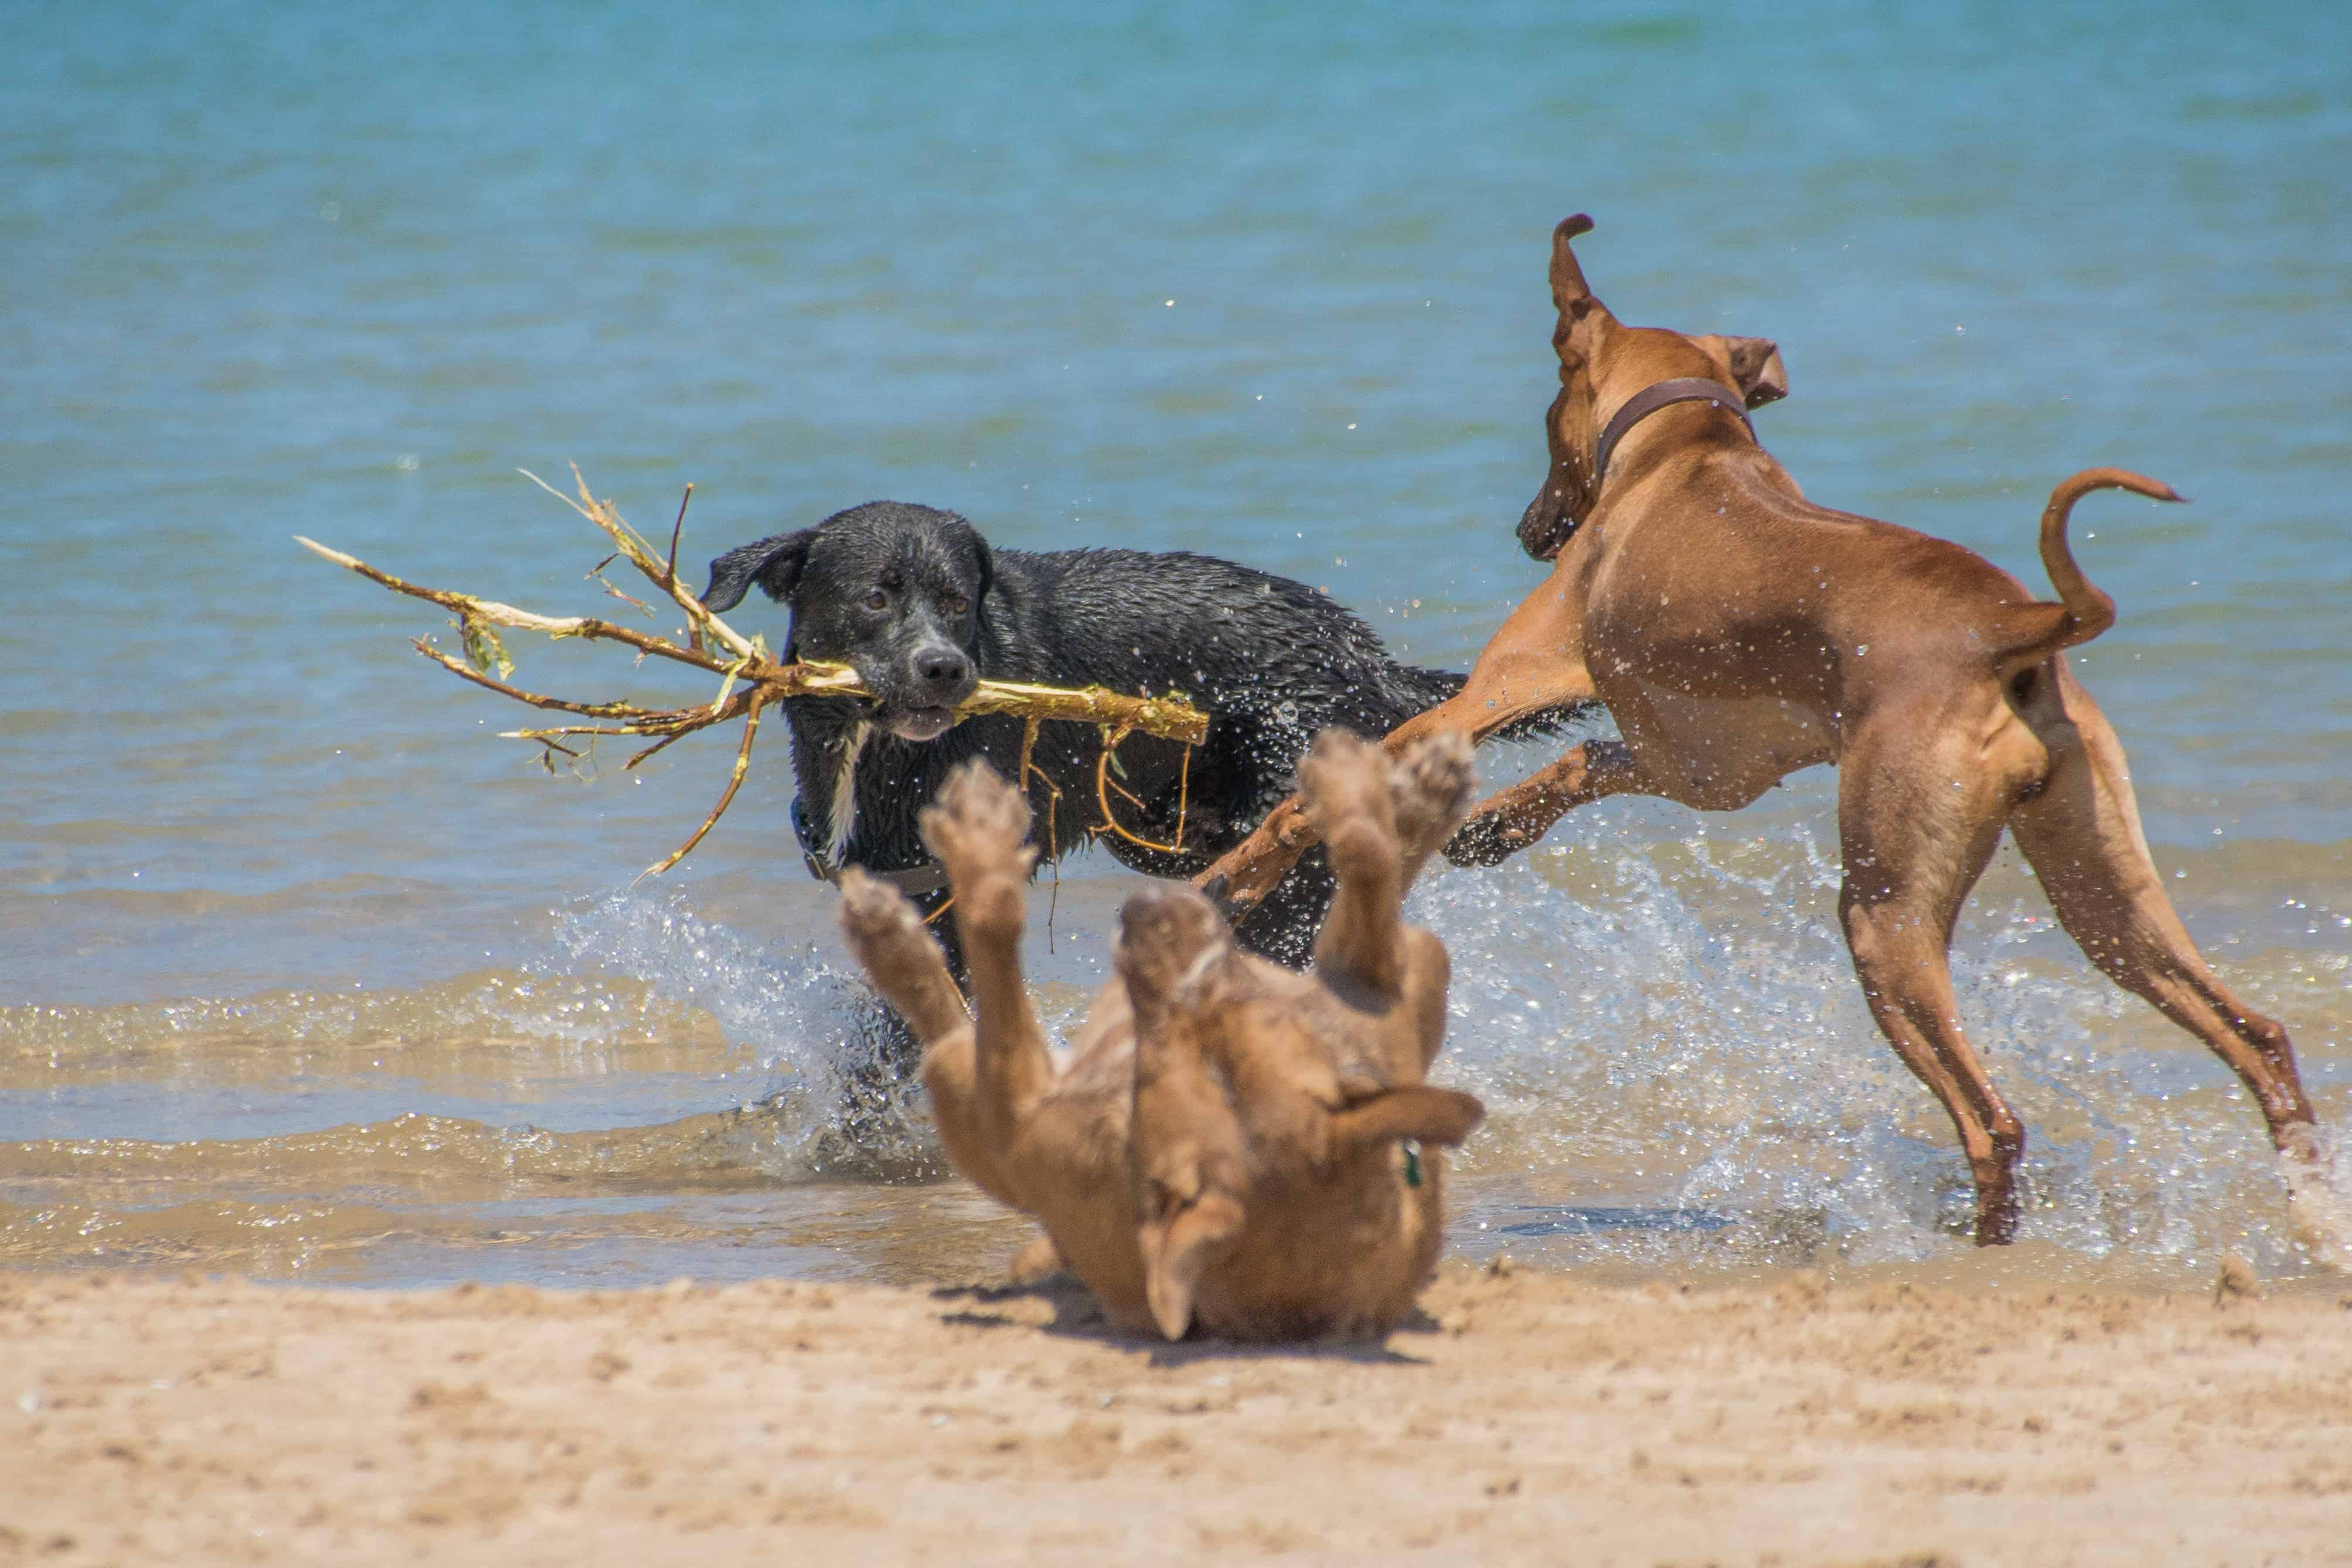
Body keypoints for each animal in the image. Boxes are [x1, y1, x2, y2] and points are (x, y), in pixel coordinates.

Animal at [705, 503, 1514, 973]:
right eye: (875, 597)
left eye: (958, 602)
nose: (945, 668)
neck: (874, 750)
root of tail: (1364, 654)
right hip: (1170, 836)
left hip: (1281, 860)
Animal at [837, 733, 1477, 1335]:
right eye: (1231, 1013)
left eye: (1197, 1031)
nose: (1149, 908)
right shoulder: (1365, 995)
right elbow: (1369, 866)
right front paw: (1392, 798)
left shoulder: (1010, 1122)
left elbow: (991, 923)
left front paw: (978, 843)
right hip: (1412, 964)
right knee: (1381, 901)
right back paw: (1418, 794)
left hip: (965, 1096)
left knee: (950, 1020)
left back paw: (890, 935)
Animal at [1204, 217, 2342, 1250]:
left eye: (1545, 411)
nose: (1530, 531)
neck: (1688, 451)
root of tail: (2018, 628)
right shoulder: (1697, 763)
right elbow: (1584, 761)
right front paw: (1494, 828)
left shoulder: (1498, 691)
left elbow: (1315, 800)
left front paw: (1232, 877)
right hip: (2103, 891)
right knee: (2257, 1036)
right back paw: (2307, 1211)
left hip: (1883, 912)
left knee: (1993, 1121)